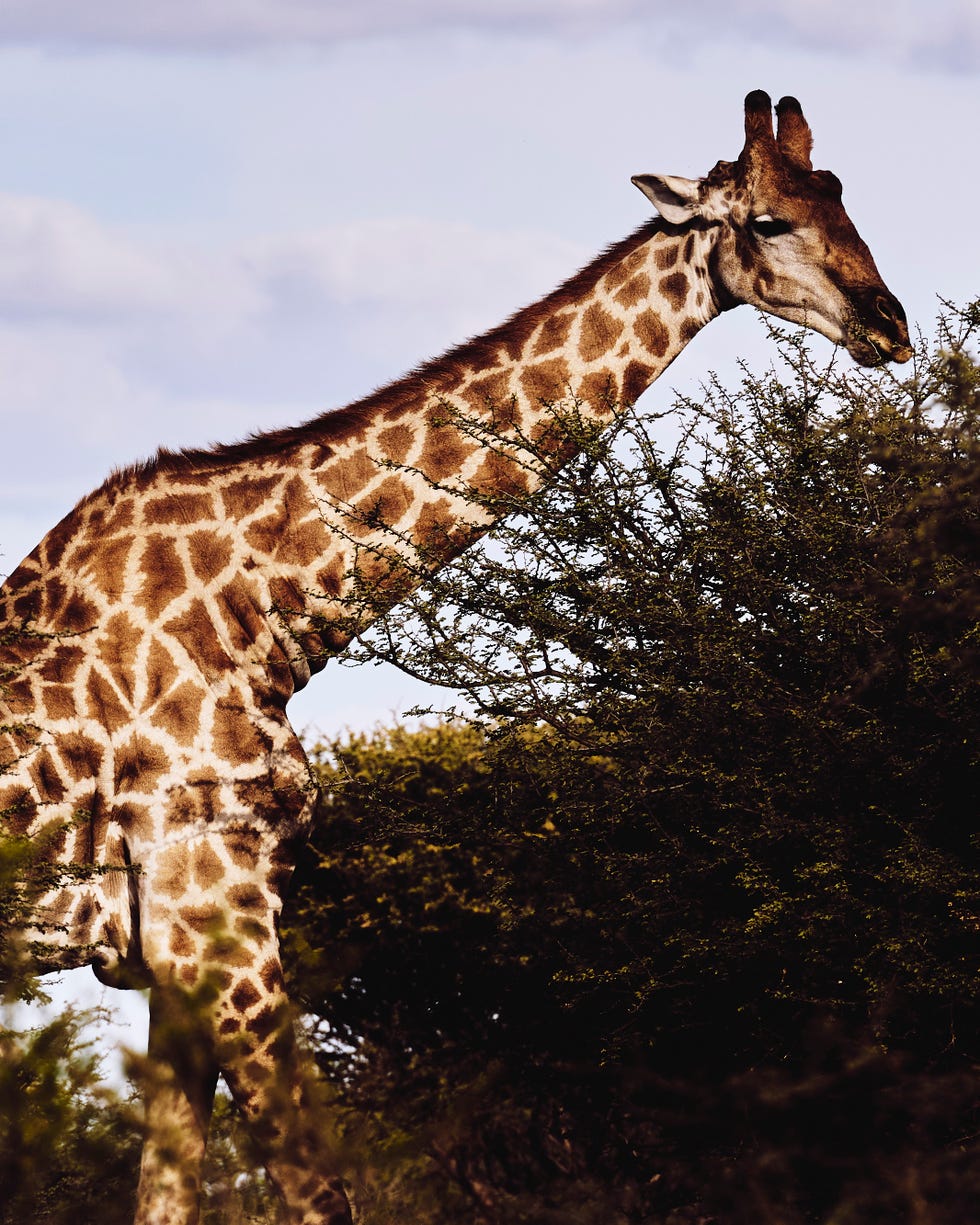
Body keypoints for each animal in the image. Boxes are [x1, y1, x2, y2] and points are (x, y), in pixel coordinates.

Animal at [0, 92, 910, 1224]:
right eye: (770, 222)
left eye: (841, 196)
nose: (890, 324)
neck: (269, 616)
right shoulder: (217, 915)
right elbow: (320, 1190)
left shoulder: (176, 949)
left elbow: (172, 1195)